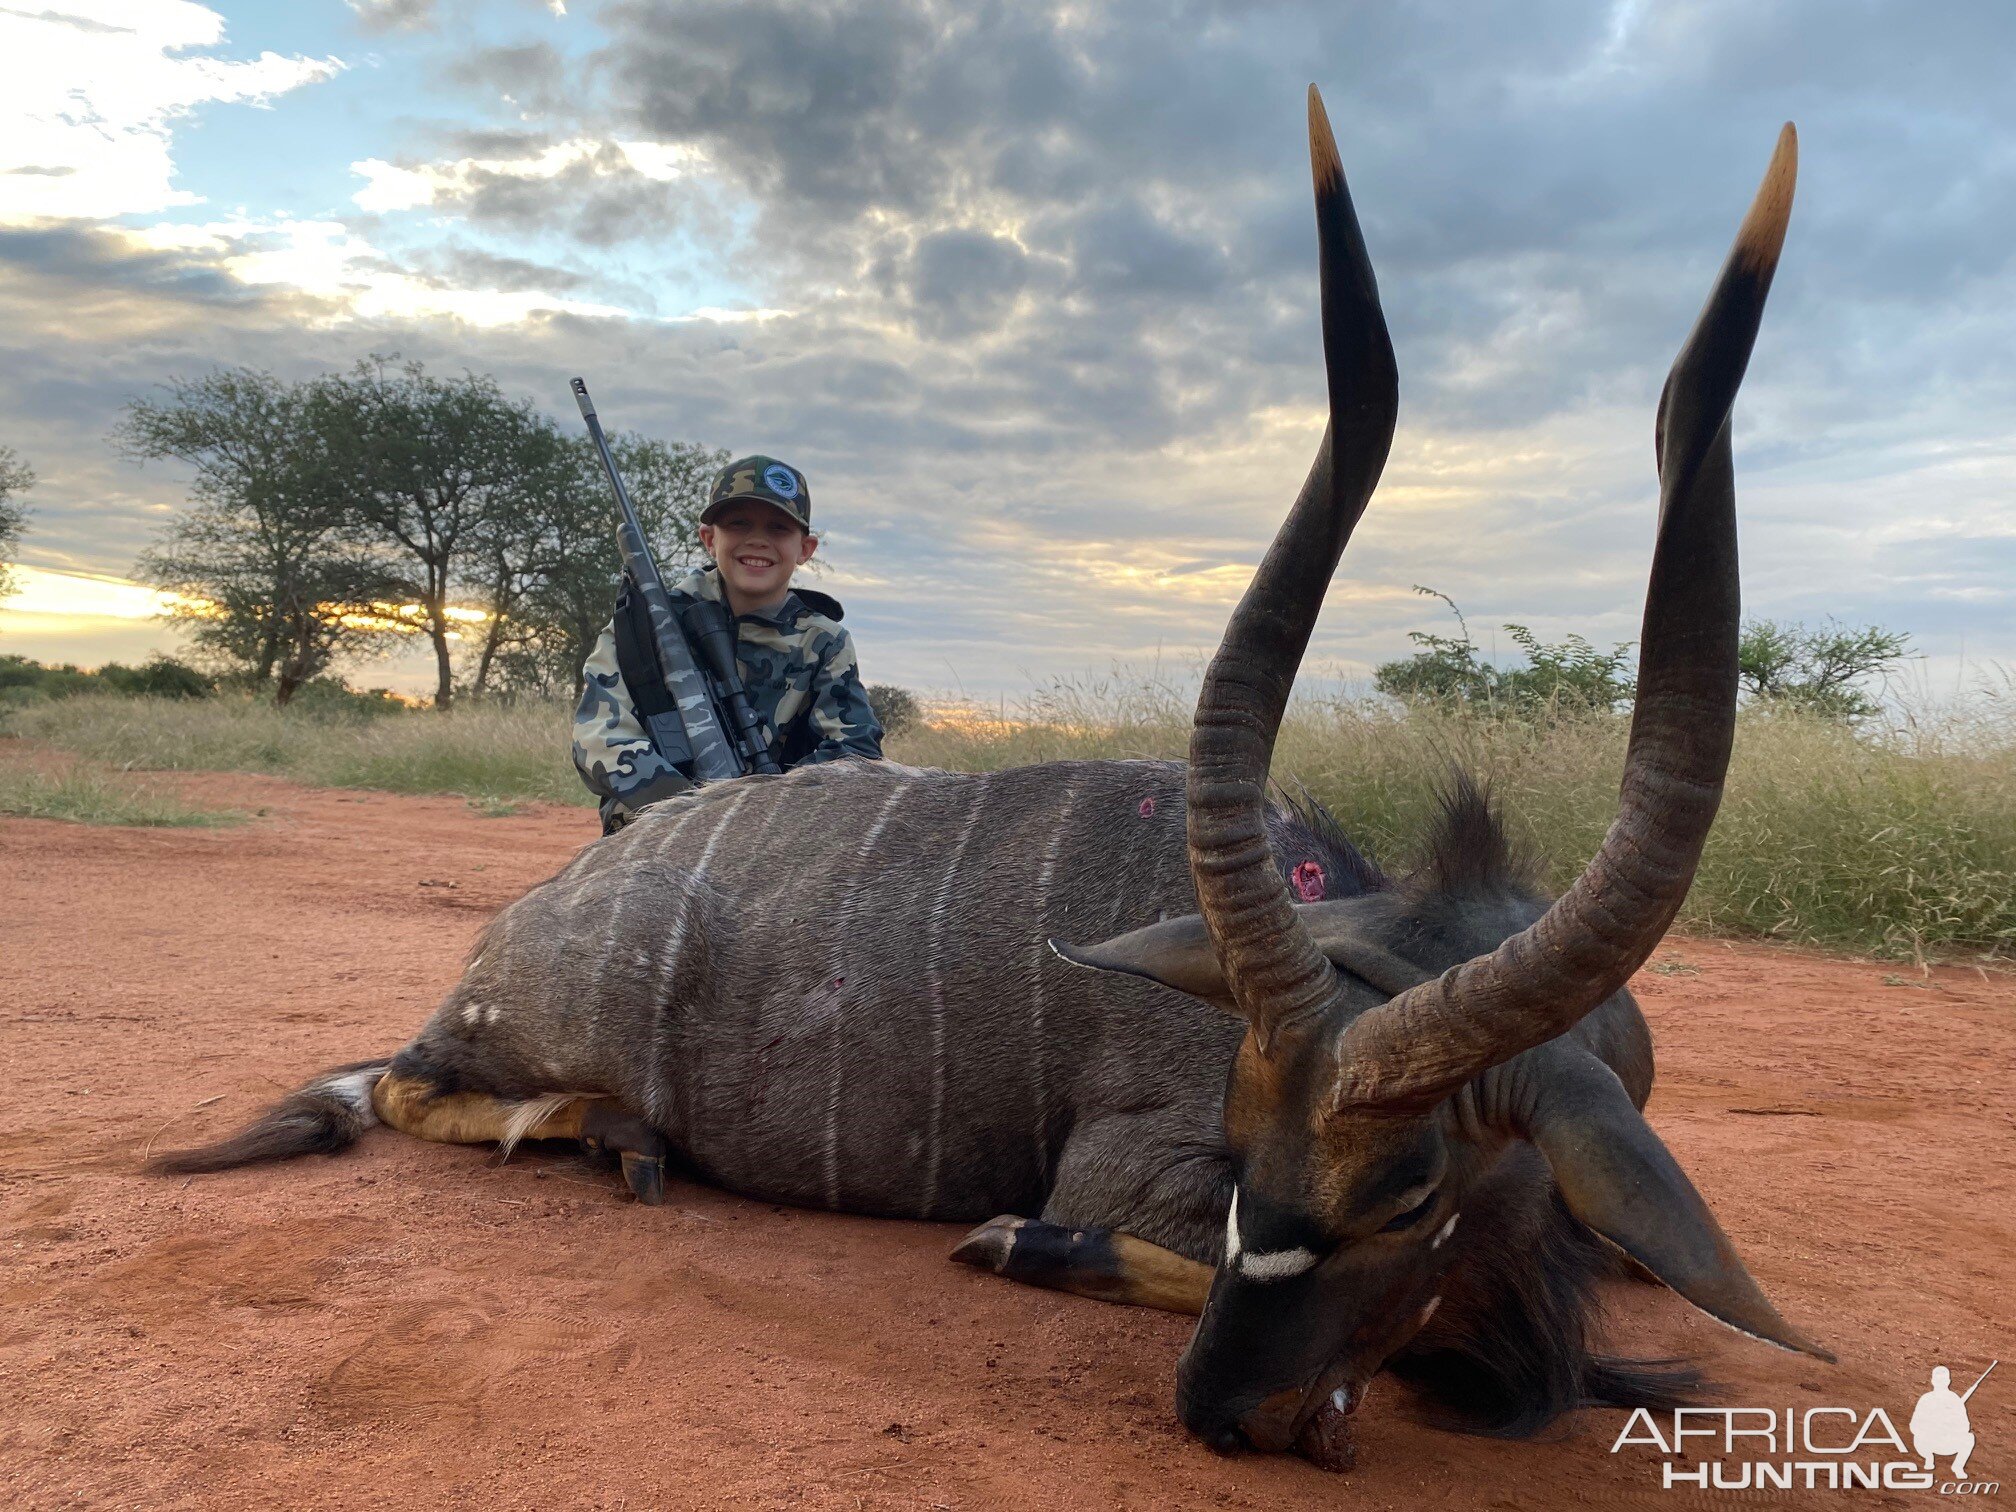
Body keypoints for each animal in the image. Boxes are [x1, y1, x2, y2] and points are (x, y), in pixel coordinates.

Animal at [157, 91, 1830, 1467]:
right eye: (1251, 1144)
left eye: (1417, 1191)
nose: (1233, 1413)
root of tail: (518, 930)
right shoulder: (1129, 1167)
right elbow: (1106, 1236)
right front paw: (1023, 1251)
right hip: (499, 1049)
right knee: (410, 1089)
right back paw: (612, 1137)